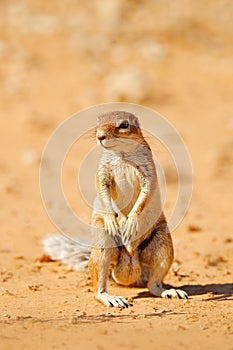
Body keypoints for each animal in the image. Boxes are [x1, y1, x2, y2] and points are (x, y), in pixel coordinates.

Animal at [43, 110, 188, 308]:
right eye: (98, 122)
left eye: (124, 124)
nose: (100, 136)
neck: (122, 154)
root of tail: (129, 267)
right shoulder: (102, 171)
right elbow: (102, 190)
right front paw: (115, 219)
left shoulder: (149, 172)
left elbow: (146, 194)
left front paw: (131, 221)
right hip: (103, 243)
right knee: (99, 285)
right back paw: (111, 298)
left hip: (163, 244)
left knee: (154, 284)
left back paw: (169, 291)